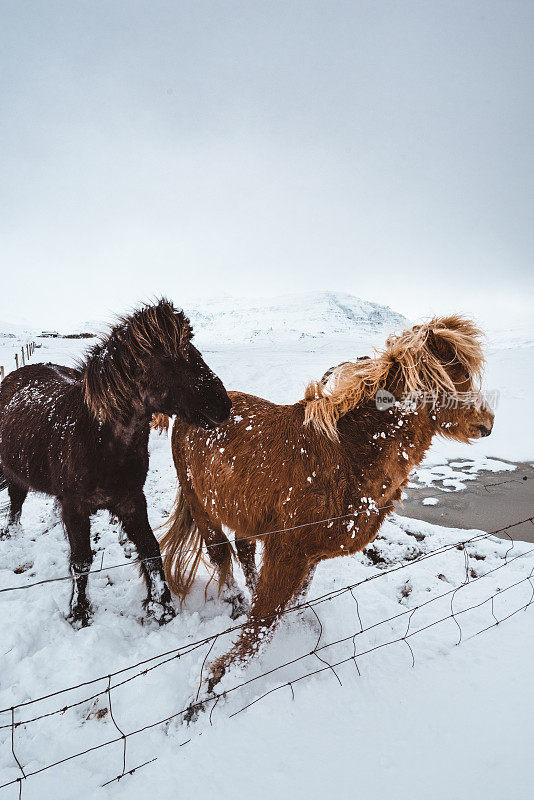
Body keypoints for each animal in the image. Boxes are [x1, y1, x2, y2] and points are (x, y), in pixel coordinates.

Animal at [0, 298, 231, 624]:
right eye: (168, 357)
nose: (224, 405)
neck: (97, 439)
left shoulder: (131, 500)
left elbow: (150, 550)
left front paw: (162, 608)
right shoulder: (75, 507)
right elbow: (81, 561)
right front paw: (79, 612)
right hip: (13, 472)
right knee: (16, 501)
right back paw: (14, 536)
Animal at [161, 316, 496, 692]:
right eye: (452, 375)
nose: (487, 422)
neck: (348, 456)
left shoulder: (309, 555)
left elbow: (291, 602)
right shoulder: (287, 550)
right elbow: (262, 624)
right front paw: (217, 681)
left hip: (242, 511)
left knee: (243, 549)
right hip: (199, 502)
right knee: (220, 552)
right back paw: (235, 602)